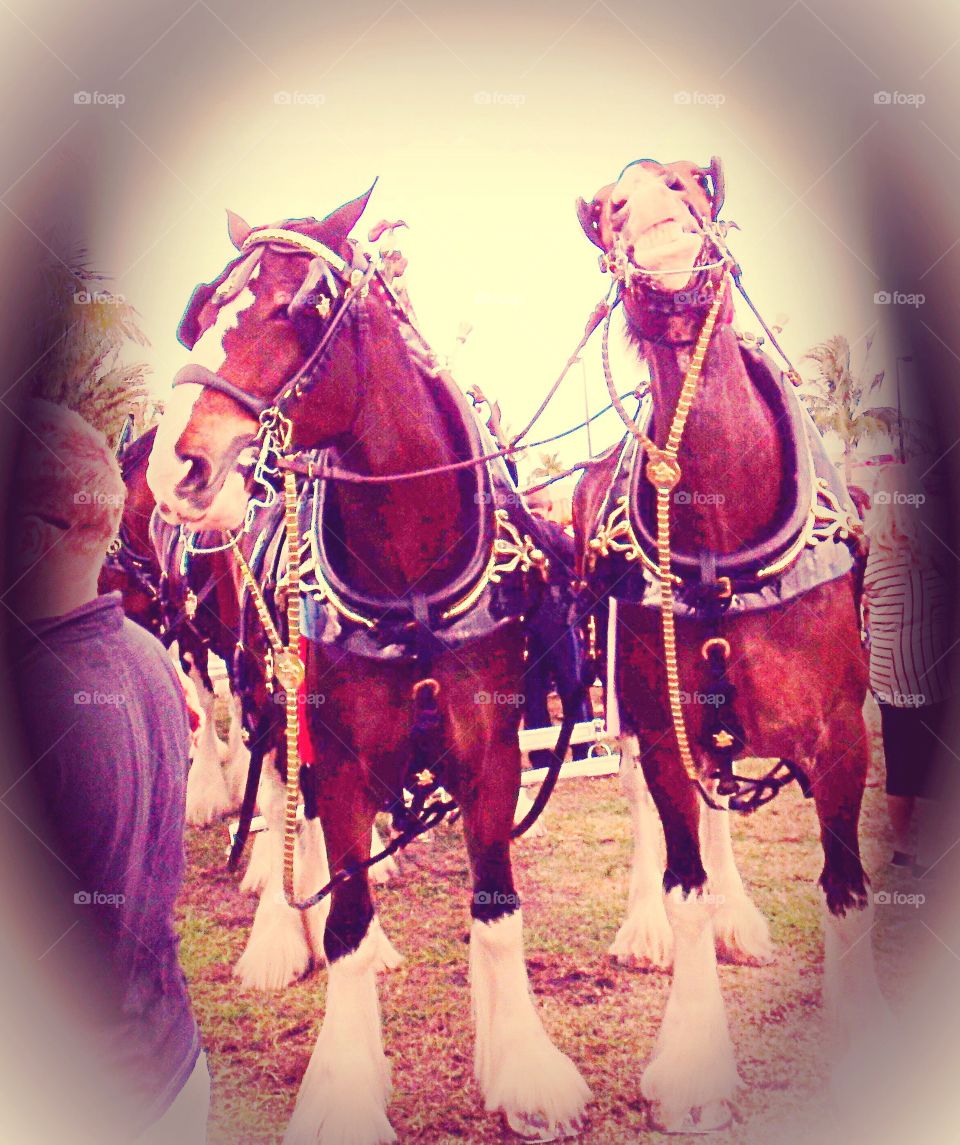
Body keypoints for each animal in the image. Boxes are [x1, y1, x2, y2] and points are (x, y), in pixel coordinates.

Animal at [146, 190, 591, 1145]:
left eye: (297, 307)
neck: (412, 573)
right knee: (285, 792)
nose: (174, 467)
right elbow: (344, 912)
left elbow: (495, 906)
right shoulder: (343, 751)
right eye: (201, 312)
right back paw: (280, 928)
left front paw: (520, 1063)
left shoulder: (492, 744)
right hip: (263, 687)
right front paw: (346, 1084)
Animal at [570, 156, 893, 1131]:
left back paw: (739, 921)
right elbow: (683, 877)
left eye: (690, 188)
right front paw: (692, 1061)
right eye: (612, 210)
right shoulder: (663, 730)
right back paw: (647, 929)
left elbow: (846, 882)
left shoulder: (842, 733)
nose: (666, 244)